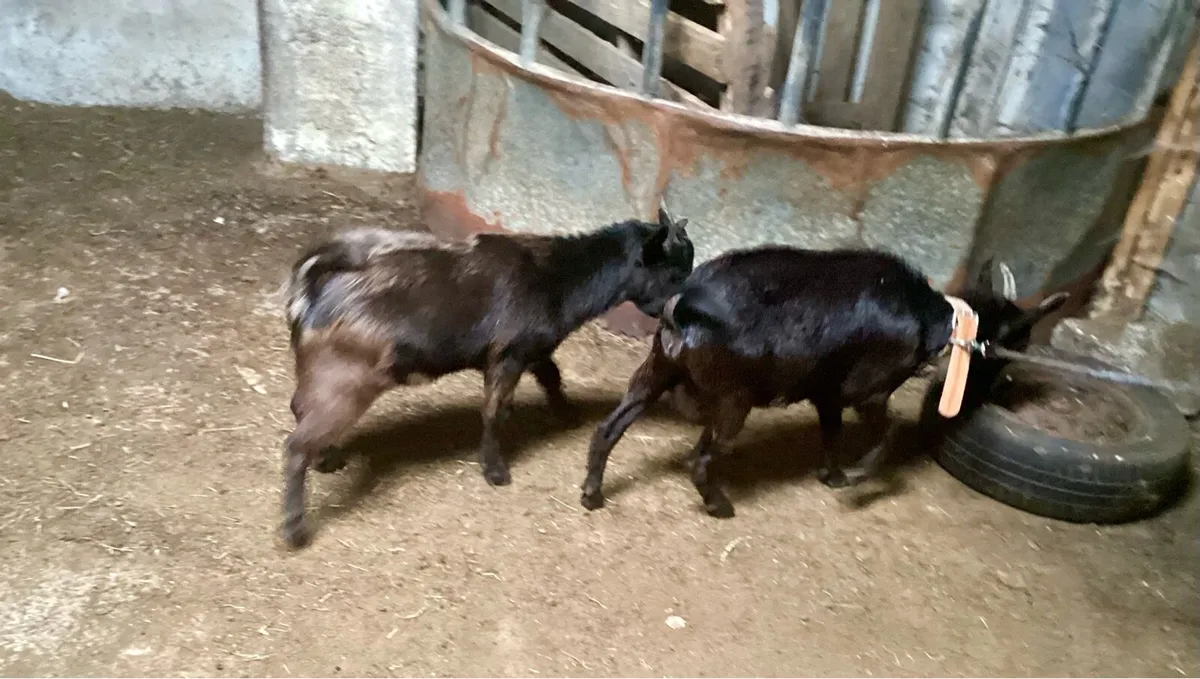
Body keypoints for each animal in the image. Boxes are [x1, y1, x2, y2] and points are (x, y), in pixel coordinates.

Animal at [281, 211, 694, 547]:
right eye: (674, 273)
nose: (678, 315)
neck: (556, 274)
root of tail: (311, 290)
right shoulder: (506, 357)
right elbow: (497, 411)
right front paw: (496, 471)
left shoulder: (532, 350)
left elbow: (551, 376)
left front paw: (567, 414)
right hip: (346, 384)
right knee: (296, 444)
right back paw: (295, 528)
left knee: (299, 407)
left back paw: (328, 460)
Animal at [579, 246, 1068, 518]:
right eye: (1015, 344)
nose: (992, 393)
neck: (935, 316)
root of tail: (684, 304)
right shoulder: (869, 390)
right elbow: (888, 433)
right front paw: (858, 477)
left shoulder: (827, 390)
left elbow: (831, 432)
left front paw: (831, 475)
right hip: (734, 399)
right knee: (698, 460)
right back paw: (720, 506)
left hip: (656, 370)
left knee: (608, 429)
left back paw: (592, 494)